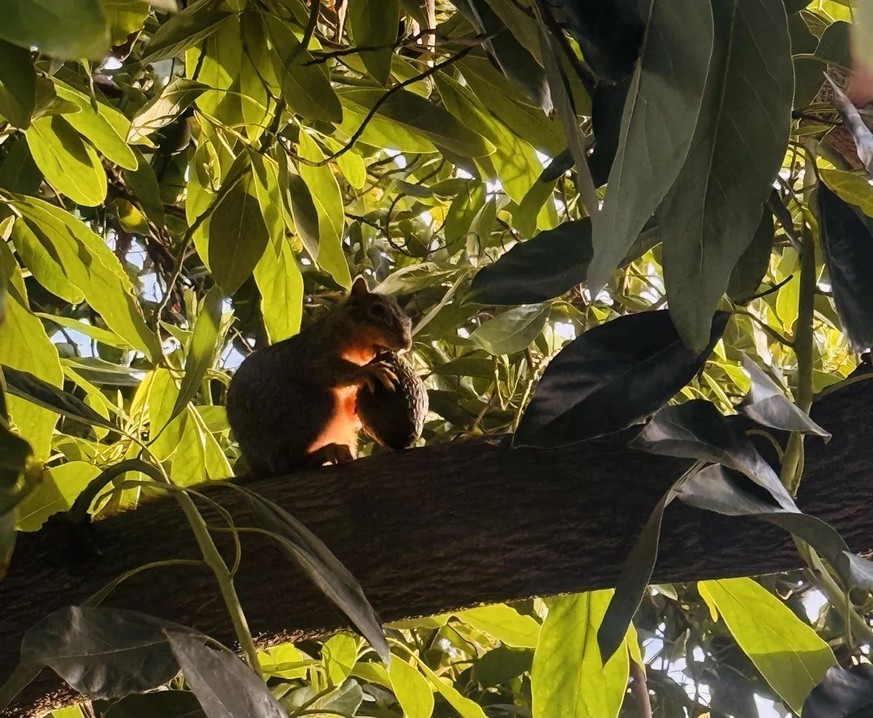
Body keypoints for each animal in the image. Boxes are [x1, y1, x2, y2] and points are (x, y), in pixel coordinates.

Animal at [226, 277, 415, 477]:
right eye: (377, 310)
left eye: (409, 322)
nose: (406, 343)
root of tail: (258, 466)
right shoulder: (311, 353)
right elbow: (325, 369)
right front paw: (368, 371)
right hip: (307, 409)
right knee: (285, 464)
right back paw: (326, 452)